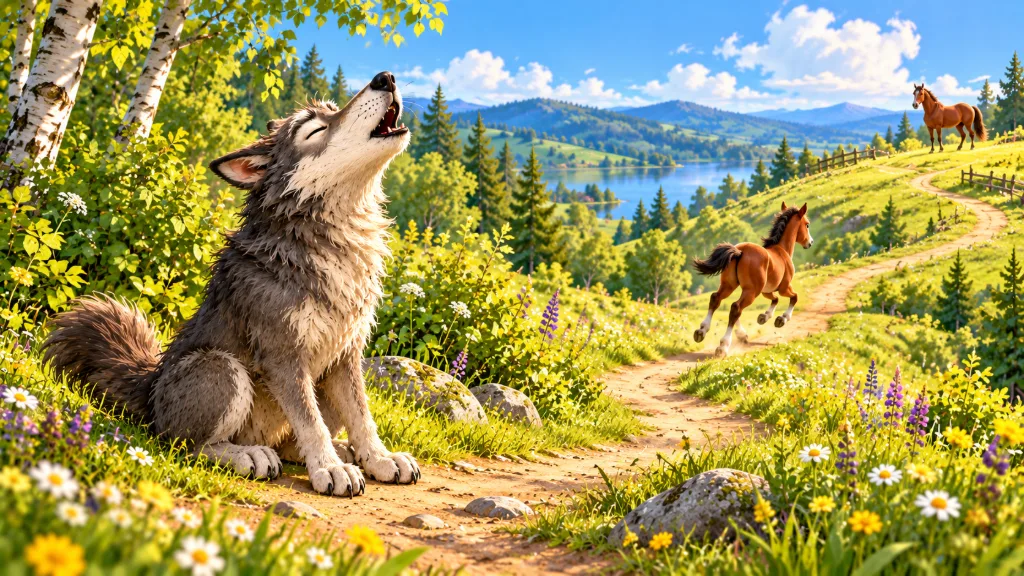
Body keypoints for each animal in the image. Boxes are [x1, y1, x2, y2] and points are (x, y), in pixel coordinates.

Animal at [43, 71, 420, 497]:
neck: (331, 237)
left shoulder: (346, 355)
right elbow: (310, 422)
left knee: (291, 442)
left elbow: (361, 416)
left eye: (332, 110)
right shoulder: (283, 356)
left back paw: (343, 450)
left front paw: (379, 458)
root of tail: (149, 390)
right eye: (316, 129)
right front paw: (330, 468)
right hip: (220, 367)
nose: (385, 78)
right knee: (184, 445)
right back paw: (250, 455)